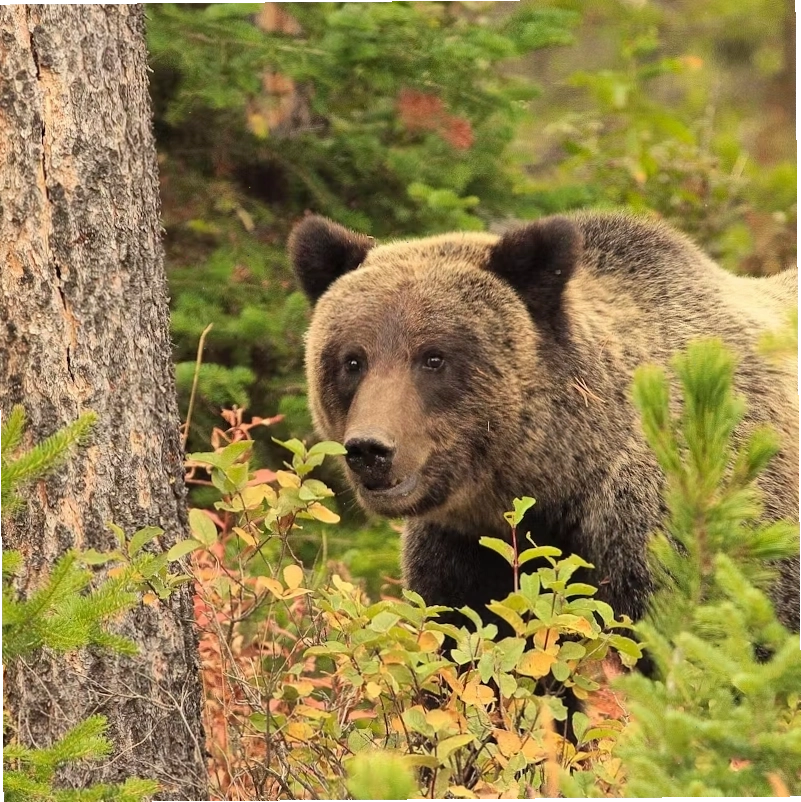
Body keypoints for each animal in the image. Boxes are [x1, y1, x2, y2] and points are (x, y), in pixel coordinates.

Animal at [288, 210, 800, 727]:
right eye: (352, 360)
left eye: (433, 356)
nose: (370, 449)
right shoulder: (466, 554)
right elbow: (471, 661)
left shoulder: (672, 539)